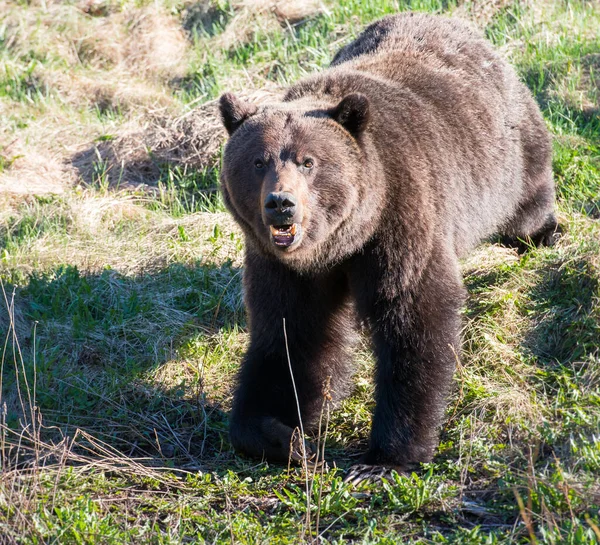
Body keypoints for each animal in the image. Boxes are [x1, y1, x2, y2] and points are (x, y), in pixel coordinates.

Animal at [218, 11, 560, 480]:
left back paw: (543, 232)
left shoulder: (399, 222)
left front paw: (384, 457)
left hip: (507, 150)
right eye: (257, 161)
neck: (339, 243)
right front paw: (281, 435)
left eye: (308, 161)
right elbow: (290, 335)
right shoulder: (284, 267)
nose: (281, 204)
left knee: (527, 197)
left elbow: (414, 320)